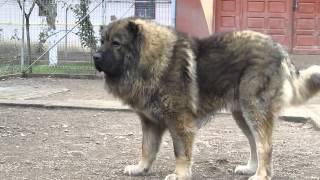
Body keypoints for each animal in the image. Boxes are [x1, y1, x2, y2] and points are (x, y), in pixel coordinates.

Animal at [92, 17, 320, 180]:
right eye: (102, 41)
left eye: (116, 43)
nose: (95, 56)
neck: (150, 62)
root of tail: (278, 48)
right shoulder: (150, 122)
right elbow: (147, 149)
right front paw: (140, 168)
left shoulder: (180, 122)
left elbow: (180, 152)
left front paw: (180, 175)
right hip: (242, 115)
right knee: (254, 142)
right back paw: (250, 168)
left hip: (254, 109)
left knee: (265, 145)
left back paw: (261, 175)